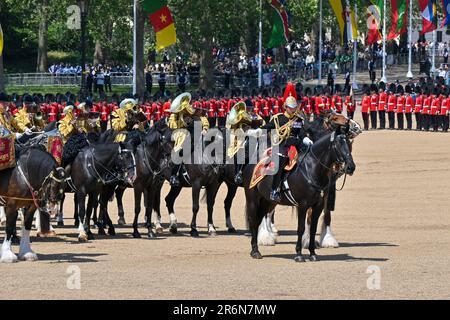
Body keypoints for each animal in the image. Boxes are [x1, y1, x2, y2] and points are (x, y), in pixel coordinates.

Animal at [243, 131, 356, 262]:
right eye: (338, 145)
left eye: (349, 144)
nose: (351, 167)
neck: (312, 169)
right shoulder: (303, 205)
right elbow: (301, 228)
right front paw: (299, 254)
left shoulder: (318, 206)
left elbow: (313, 229)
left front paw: (312, 253)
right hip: (253, 200)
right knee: (253, 221)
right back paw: (255, 251)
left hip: (266, 202)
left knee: (257, 221)